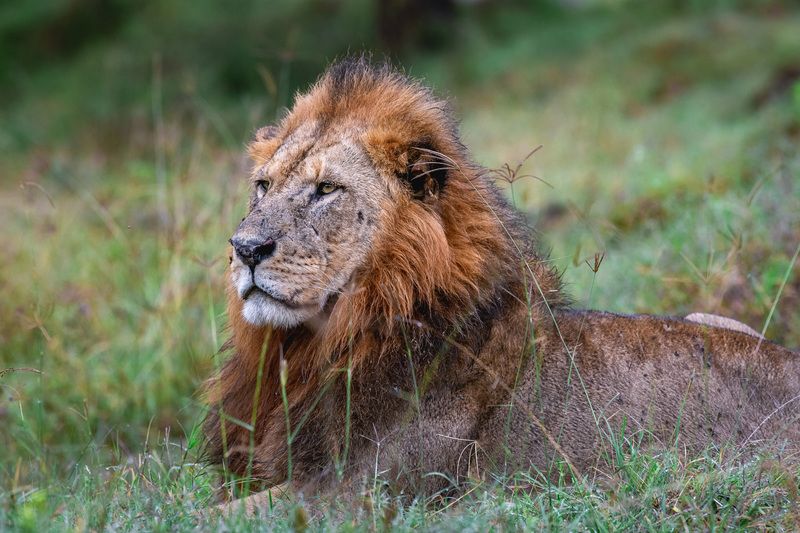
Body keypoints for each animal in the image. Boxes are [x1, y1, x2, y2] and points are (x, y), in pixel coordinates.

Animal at [204, 57, 800, 513]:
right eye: (262, 186)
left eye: (326, 189)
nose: (245, 248)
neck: (315, 346)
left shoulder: (364, 491)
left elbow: (220, 515)